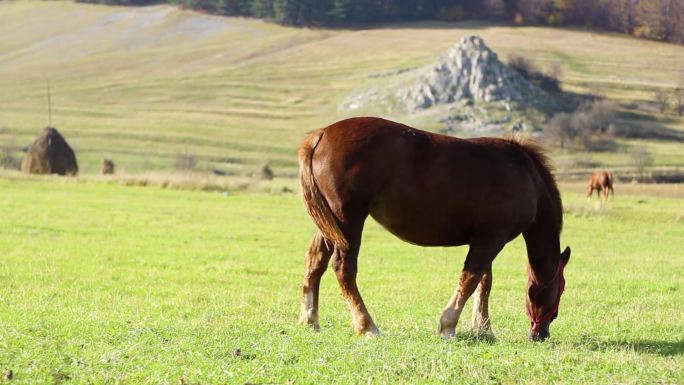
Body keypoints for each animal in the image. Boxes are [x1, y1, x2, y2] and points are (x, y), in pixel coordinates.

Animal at [296, 116, 568, 340]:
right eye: (560, 289)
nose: (541, 334)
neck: (525, 176)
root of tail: (321, 135)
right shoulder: (491, 240)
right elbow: (470, 279)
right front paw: (449, 326)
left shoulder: (485, 238)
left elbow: (484, 282)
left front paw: (483, 328)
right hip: (348, 220)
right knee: (343, 268)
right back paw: (367, 326)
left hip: (331, 225)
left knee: (315, 261)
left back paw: (310, 321)